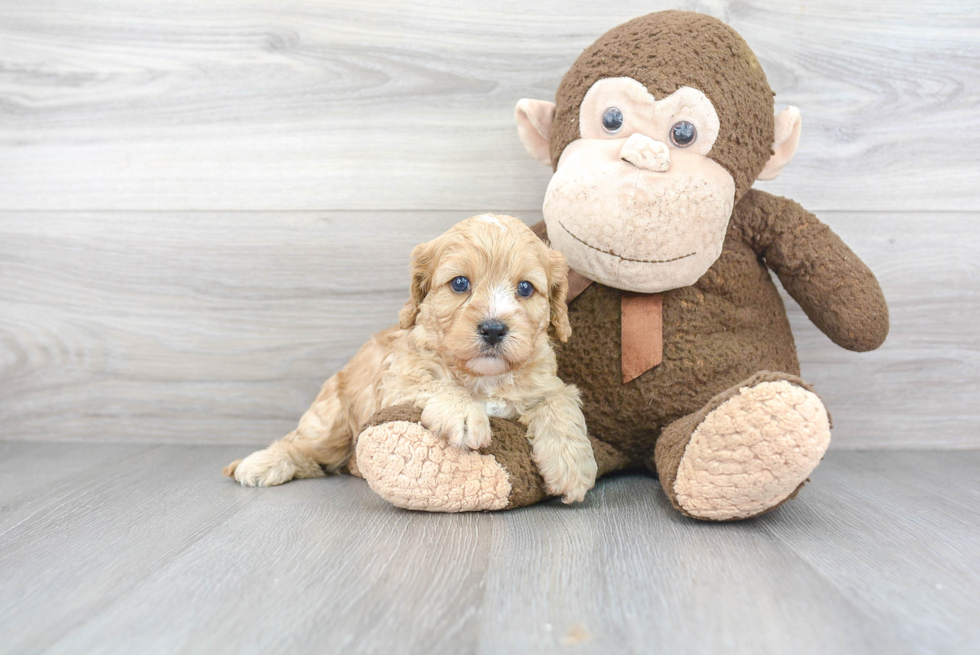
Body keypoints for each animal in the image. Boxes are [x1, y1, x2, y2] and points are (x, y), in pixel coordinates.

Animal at [224, 214, 596, 502]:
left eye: (525, 288)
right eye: (459, 283)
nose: (493, 329)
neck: (483, 378)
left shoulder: (548, 383)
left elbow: (560, 403)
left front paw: (572, 466)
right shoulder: (397, 380)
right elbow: (436, 384)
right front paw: (465, 414)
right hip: (332, 421)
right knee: (302, 444)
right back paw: (261, 464)